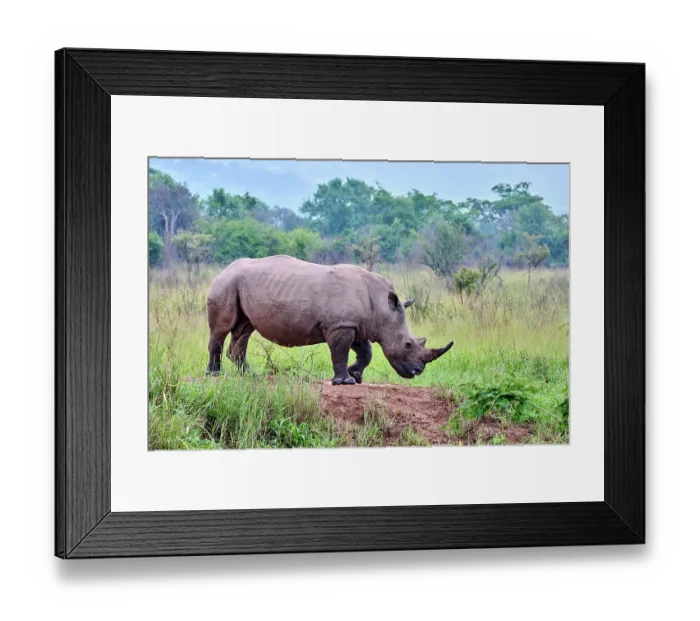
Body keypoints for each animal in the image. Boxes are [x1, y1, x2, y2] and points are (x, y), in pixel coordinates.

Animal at [205, 255, 453, 385]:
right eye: (408, 345)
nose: (417, 371)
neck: (383, 309)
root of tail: (223, 270)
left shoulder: (355, 324)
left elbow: (366, 352)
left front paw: (356, 376)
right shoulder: (340, 326)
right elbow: (340, 353)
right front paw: (345, 381)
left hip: (237, 285)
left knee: (244, 329)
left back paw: (251, 376)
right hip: (225, 284)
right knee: (222, 329)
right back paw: (214, 375)